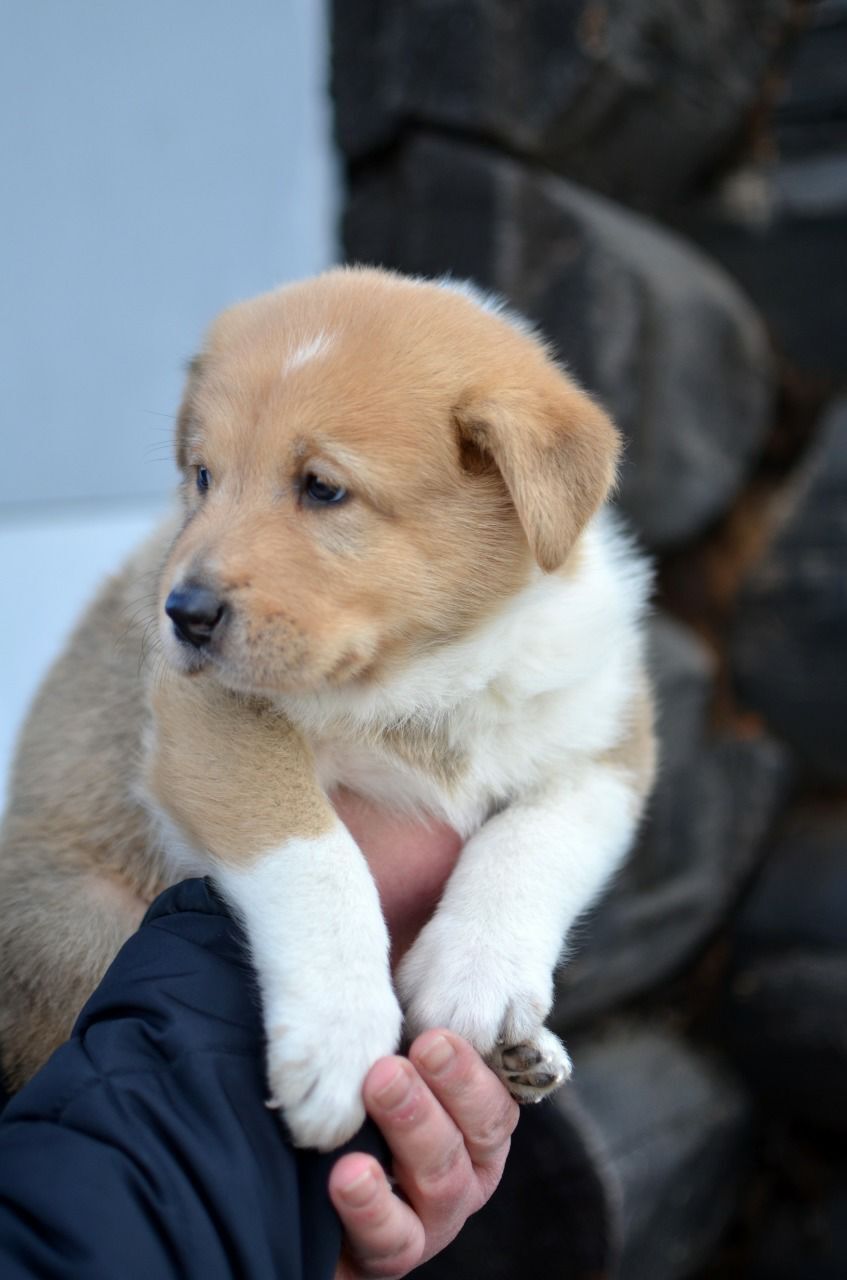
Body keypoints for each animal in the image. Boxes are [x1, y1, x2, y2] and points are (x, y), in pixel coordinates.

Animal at [0, 267, 655, 1152]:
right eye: (203, 477)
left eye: (322, 488)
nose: (183, 614)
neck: (418, 673)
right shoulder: (207, 718)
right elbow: (314, 859)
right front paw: (339, 1040)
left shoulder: (610, 740)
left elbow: (534, 840)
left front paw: (477, 980)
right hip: (84, 913)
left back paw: (527, 1055)